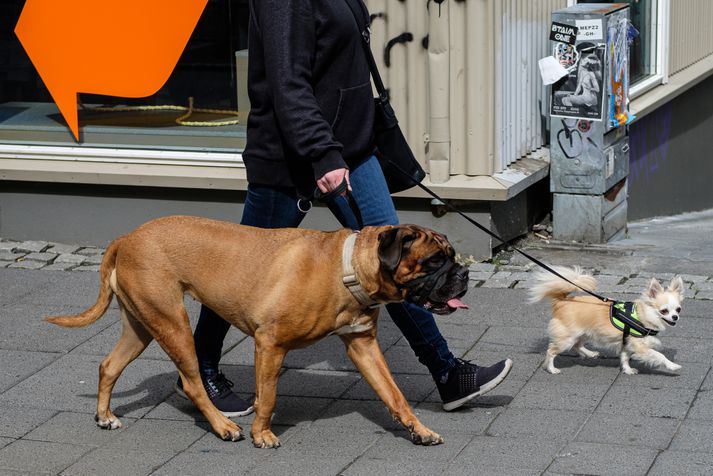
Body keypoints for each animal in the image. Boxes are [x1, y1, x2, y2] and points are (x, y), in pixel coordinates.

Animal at [48, 218, 468, 448]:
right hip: (173, 325)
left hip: (142, 325)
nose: (464, 274)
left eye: (453, 257)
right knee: (193, 383)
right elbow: (267, 397)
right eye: (434, 262)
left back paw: (104, 415)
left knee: (108, 366)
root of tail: (127, 238)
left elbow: (395, 396)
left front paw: (419, 430)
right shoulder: (270, 344)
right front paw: (261, 433)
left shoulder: (363, 346)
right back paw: (223, 426)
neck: (348, 268)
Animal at [528, 268, 684, 376]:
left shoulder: (627, 343)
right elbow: (659, 355)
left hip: (583, 333)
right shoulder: (639, 346)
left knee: (577, 346)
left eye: (678, 309)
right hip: (567, 338)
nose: (675, 317)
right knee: (551, 351)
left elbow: (624, 357)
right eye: (664, 311)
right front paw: (672, 366)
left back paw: (590, 354)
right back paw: (551, 369)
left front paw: (627, 370)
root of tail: (562, 301)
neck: (643, 315)